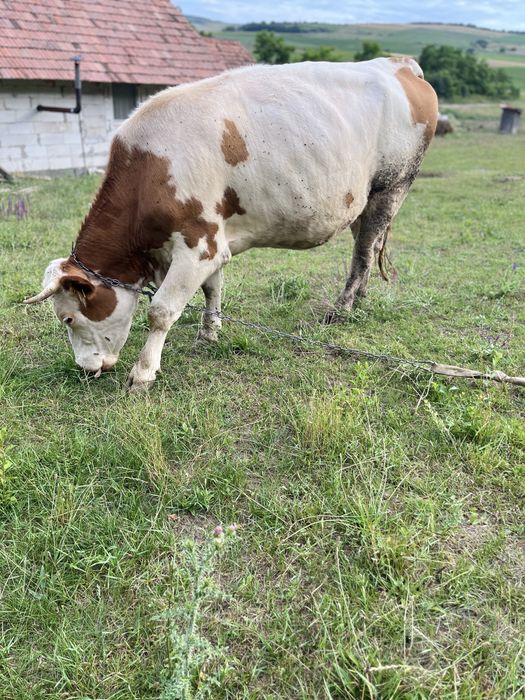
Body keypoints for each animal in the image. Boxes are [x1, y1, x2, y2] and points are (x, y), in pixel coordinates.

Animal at [24, 57, 438, 391]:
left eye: (68, 318)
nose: (85, 369)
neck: (150, 171)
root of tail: (397, 64)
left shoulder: (198, 244)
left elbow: (161, 311)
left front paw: (142, 374)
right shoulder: (212, 243)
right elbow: (213, 289)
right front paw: (209, 333)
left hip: (393, 187)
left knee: (364, 252)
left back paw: (343, 306)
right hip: (362, 202)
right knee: (365, 245)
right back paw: (361, 296)